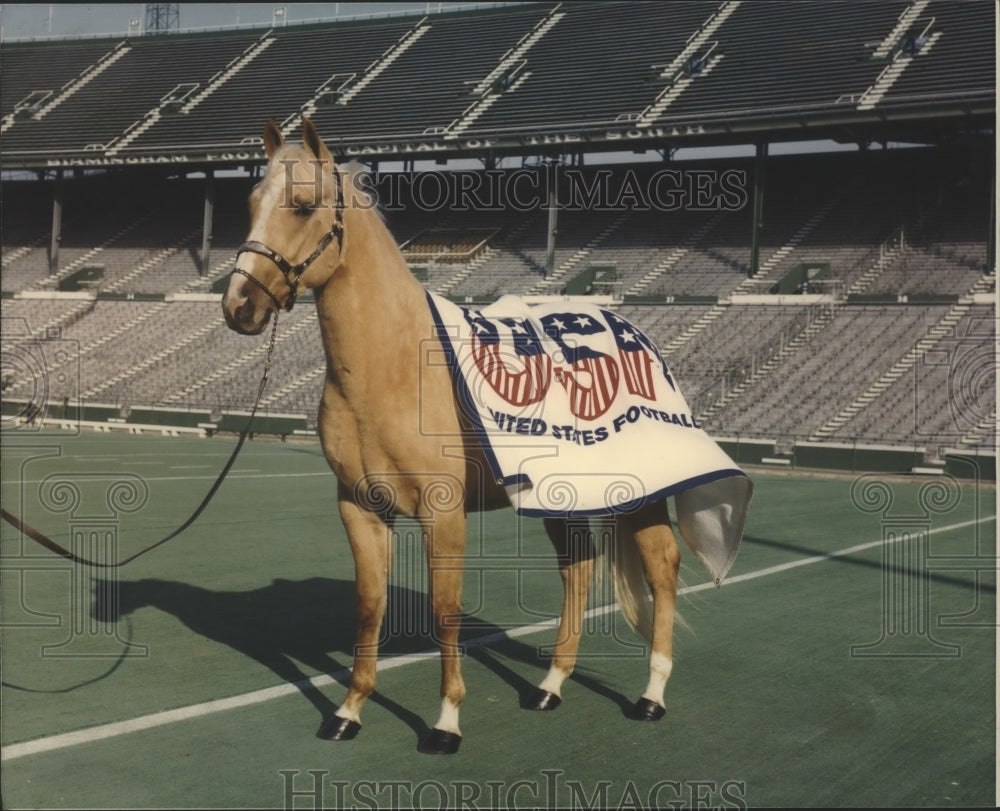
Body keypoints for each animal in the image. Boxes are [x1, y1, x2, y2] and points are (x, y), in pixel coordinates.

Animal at [221, 119, 688, 756]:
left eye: (303, 204)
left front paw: (445, 723)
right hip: (558, 501)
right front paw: (348, 711)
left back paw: (652, 694)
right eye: (250, 203)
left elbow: (445, 612)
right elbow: (369, 606)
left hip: (641, 494)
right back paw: (550, 686)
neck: (392, 367)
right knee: (580, 570)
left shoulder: (442, 513)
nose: (239, 306)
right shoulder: (360, 507)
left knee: (662, 569)